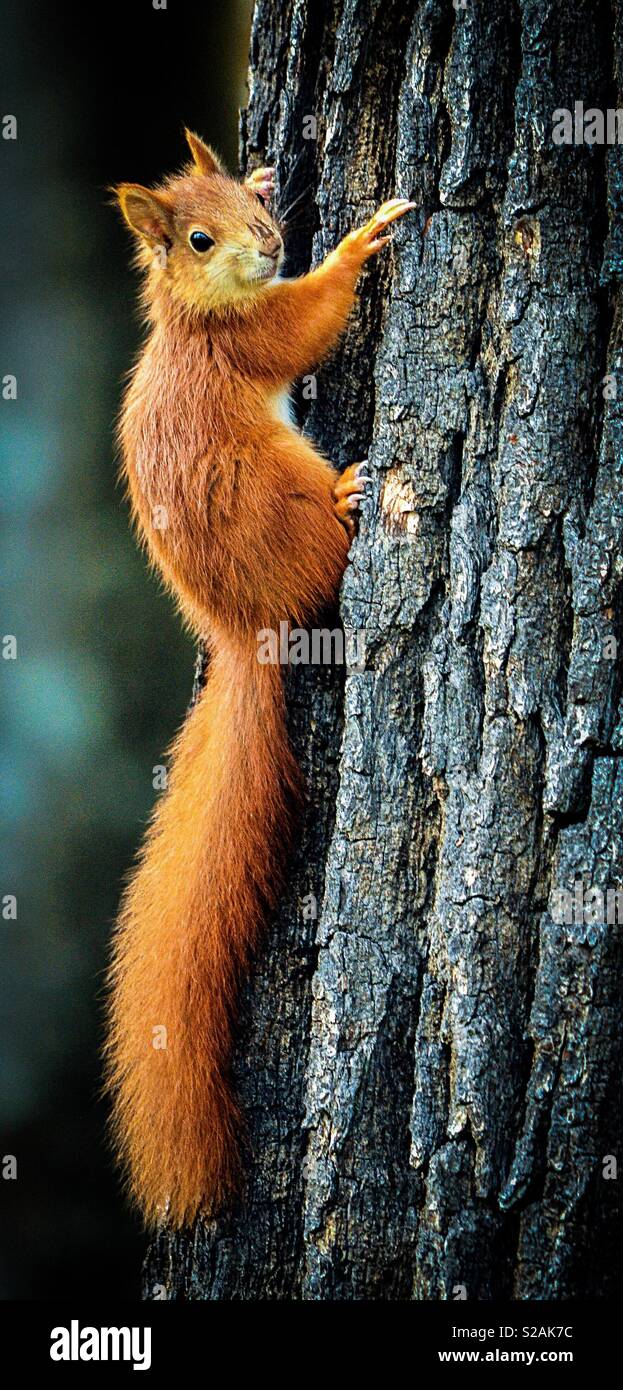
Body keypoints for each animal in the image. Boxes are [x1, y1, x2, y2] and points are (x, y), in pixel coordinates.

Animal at [105, 128, 414, 1229]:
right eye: (196, 239)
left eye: (241, 199)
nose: (273, 235)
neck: (195, 315)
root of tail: (243, 633)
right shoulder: (252, 338)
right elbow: (305, 322)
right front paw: (360, 243)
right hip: (283, 499)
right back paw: (352, 491)